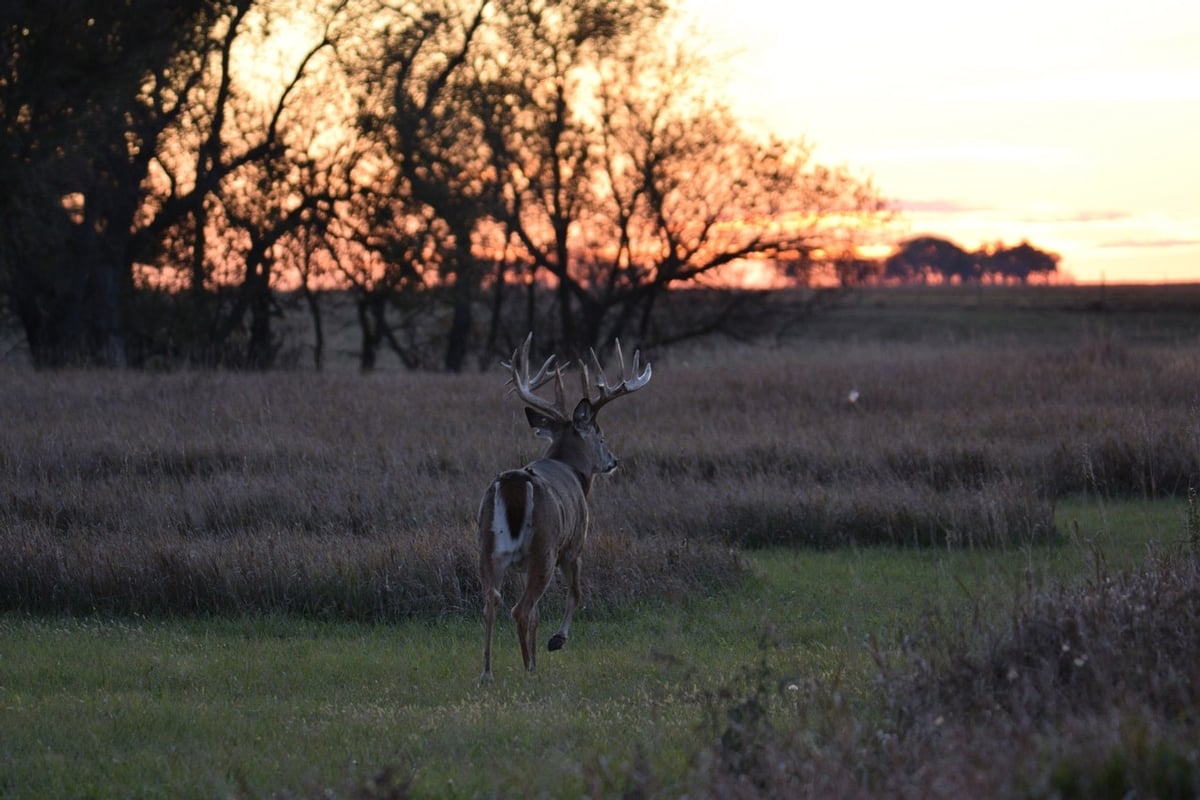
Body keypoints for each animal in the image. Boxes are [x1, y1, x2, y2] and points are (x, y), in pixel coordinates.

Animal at [477, 333, 652, 683]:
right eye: (601, 434)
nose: (613, 461)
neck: (570, 468)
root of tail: (515, 481)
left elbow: (539, 612)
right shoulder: (575, 544)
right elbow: (576, 594)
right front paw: (556, 640)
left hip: (489, 545)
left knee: (493, 601)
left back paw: (488, 672)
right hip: (544, 546)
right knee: (520, 608)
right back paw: (529, 668)